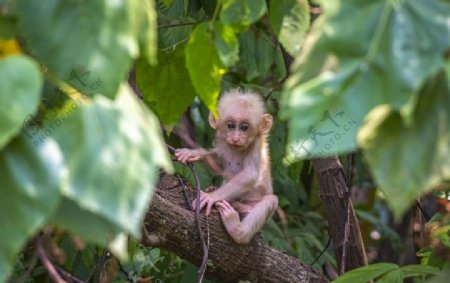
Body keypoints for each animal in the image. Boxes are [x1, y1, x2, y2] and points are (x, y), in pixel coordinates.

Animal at [176, 90, 278, 245]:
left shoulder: (256, 145)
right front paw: (193, 153)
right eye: (230, 125)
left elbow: (250, 175)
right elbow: (219, 162)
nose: (236, 138)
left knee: (271, 200)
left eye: (244, 127)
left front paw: (212, 197)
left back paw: (237, 230)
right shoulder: (223, 141)